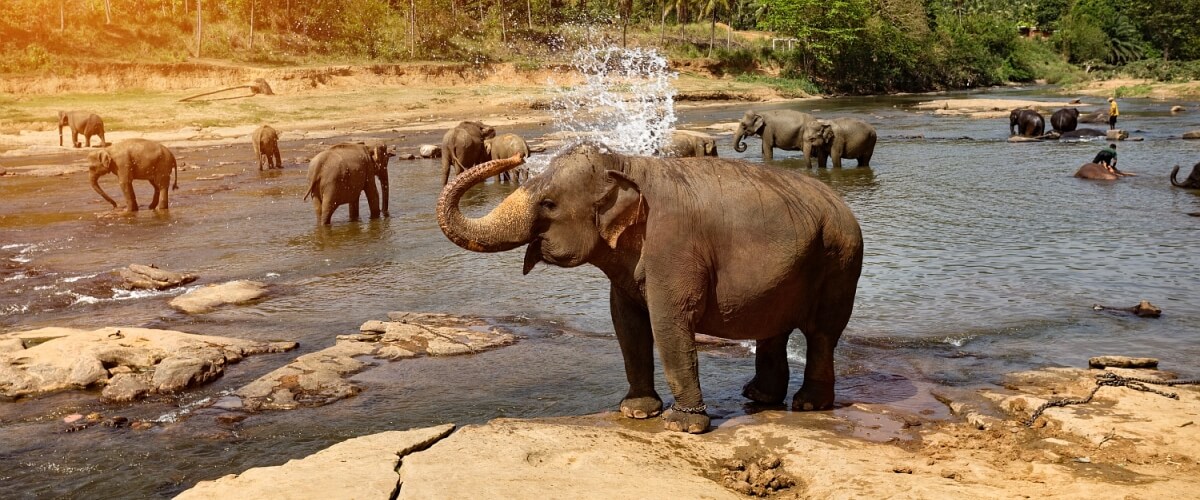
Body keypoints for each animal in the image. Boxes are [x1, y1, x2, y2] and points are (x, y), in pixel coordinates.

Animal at [439, 142, 864, 431]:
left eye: (548, 204)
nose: (517, 157)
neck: (625, 164)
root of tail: (842, 204)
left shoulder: (673, 246)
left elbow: (669, 322)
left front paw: (683, 425)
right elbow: (627, 324)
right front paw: (636, 411)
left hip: (840, 260)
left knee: (822, 332)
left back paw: (808, 405)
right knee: (774, 328)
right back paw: (758, 396)